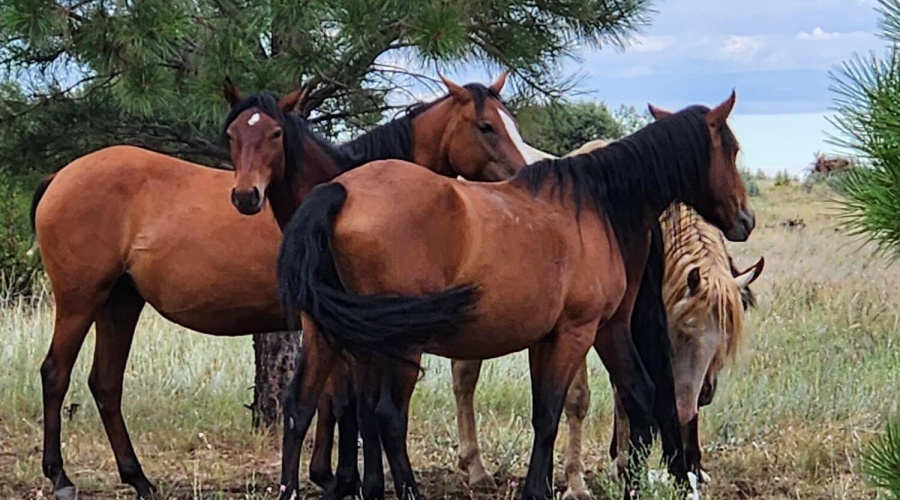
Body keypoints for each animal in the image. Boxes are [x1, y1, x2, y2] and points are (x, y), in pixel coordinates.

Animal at [30, 71, 533, 500]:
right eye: (487, 126)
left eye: (510, 122)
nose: (521, 173)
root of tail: (60, 175)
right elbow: (348, 404)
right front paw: (341, 479)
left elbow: (340, 403)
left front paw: (334, 477)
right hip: (80, 301)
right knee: (56, 374)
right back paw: (60, 477)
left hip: (120, 303)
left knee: (105, 383)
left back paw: (138, 478)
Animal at [274, 92, 753, 500]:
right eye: (731, 150)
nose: (745, 219)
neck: (597, 206)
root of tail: (340, 190)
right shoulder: (578, 332)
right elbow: (554, 410)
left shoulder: (598, 331)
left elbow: (628, 394)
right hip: (398, 344)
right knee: (388, 415)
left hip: (330, 335)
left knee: (301, 406)